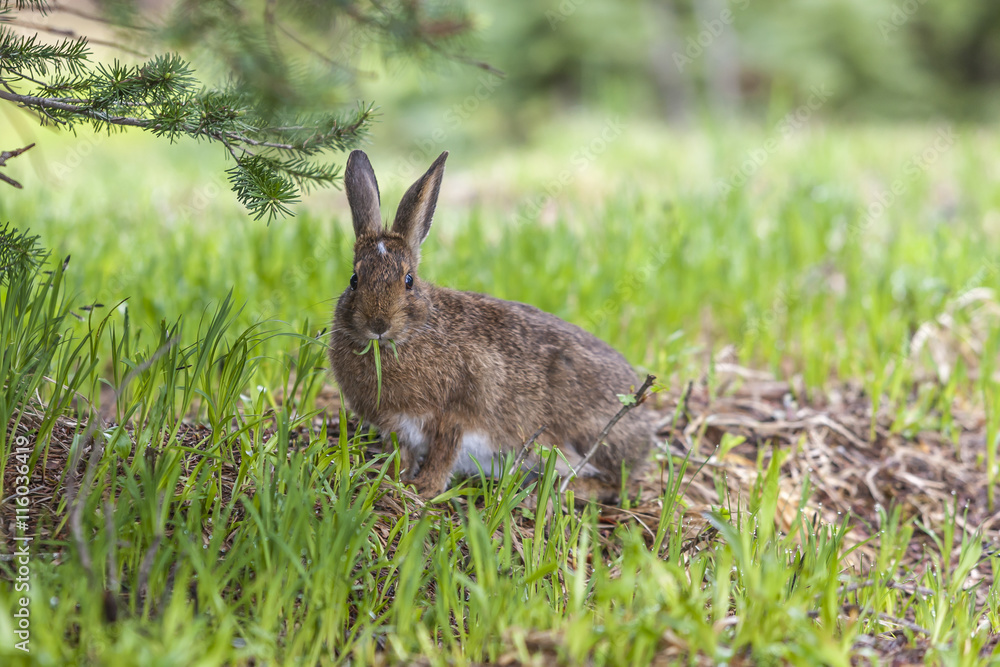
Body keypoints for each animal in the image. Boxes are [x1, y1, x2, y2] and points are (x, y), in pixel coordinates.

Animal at [328, 149, 654, 501]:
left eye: (408, 281)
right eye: (354, 280)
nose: (378, 323)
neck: (412, 334)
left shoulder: (457, 413)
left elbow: (443, 454)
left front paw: (424, 489)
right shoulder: (398, 428)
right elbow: (401, 455)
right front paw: (390, 480)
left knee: (608, 480)